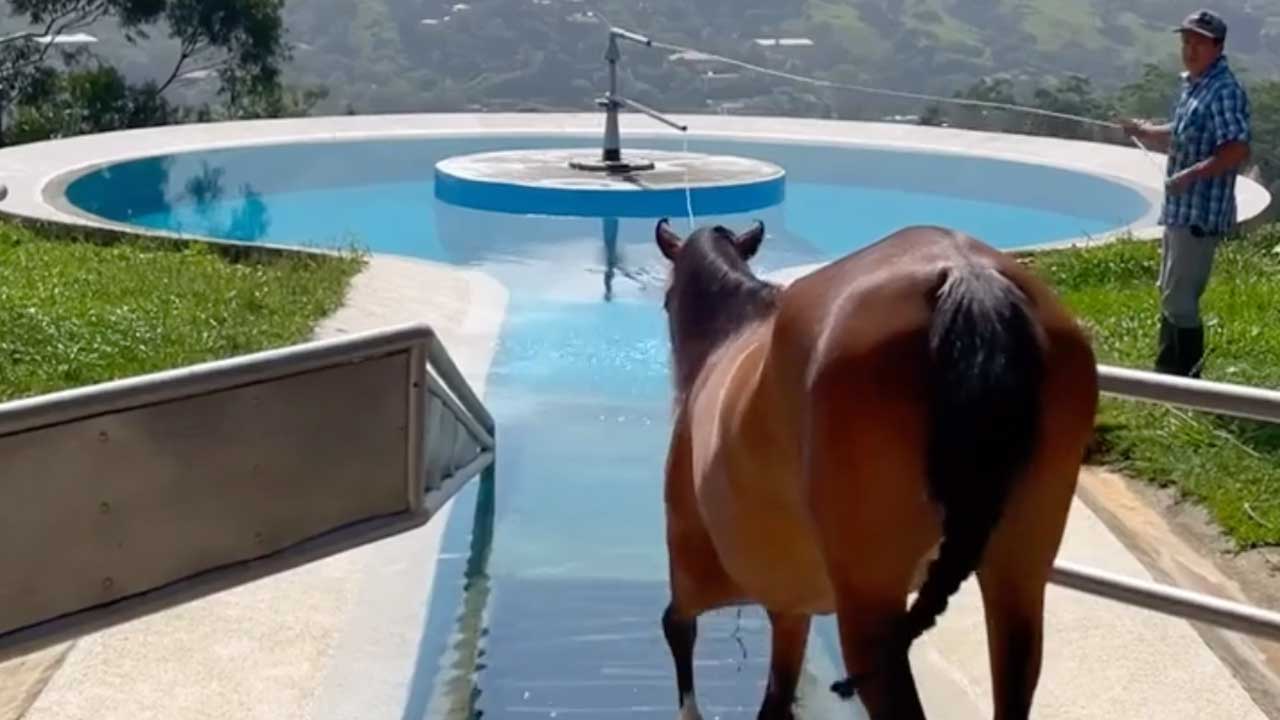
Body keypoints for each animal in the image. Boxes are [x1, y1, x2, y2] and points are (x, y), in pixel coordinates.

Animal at [653, 219, 1099, 720]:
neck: (729, 340)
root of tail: (970, 277)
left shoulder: (698, 572)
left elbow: (677, 627)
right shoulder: (791, 611)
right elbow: (775, 699)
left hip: (870, 613)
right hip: (1017, 583)